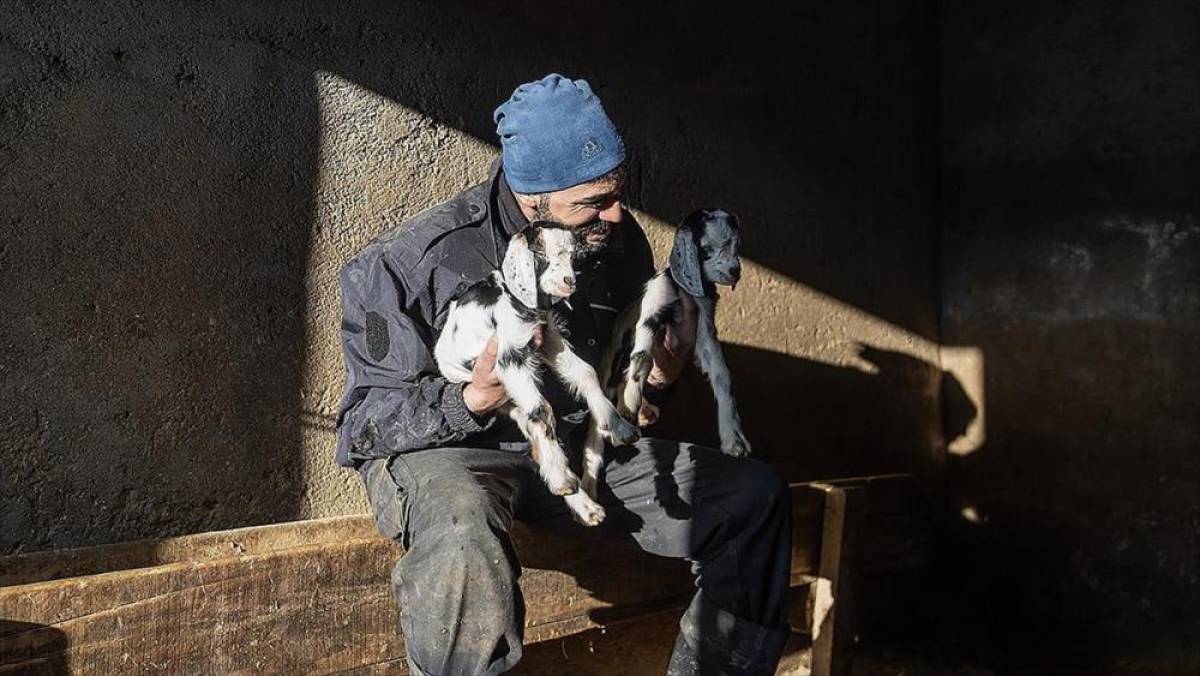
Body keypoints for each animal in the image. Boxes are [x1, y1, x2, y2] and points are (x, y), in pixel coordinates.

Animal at [434, 222, 640, 526]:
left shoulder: (548, 339)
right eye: (542, 254)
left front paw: (617, 426)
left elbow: (585, 373)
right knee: (536, 416)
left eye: (572, 255)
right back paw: (566, 483)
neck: (515, 298)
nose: (569, 282)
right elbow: (541, 409)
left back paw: (584, 505)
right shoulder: (509, 355)